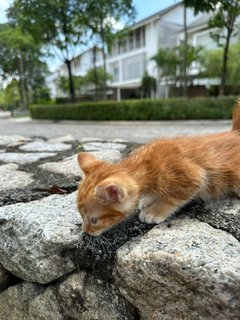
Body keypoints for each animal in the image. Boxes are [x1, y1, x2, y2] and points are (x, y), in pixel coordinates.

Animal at [77, 101, 240, 236]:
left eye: (94, 220)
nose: (85, 232)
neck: (145, 164)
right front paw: (149, 199)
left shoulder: (195, 175)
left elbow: (173, 197)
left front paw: (154, 211)